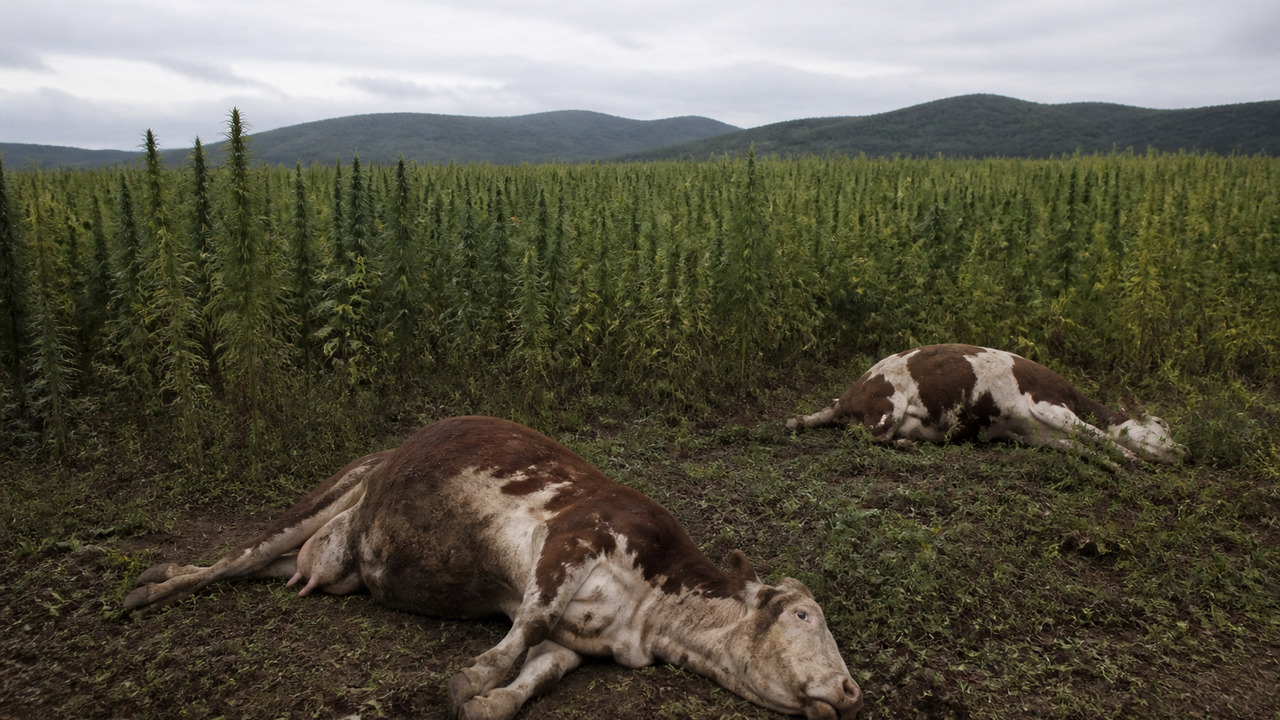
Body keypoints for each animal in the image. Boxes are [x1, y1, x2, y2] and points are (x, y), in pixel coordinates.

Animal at [126, 416, 863, 720]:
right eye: (804, 615)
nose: (853, 691)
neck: (651, 614)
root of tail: (392, 447)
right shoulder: (577, 535)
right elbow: (525, 624)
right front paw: (468, 681)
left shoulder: (579, 642)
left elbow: (537, 671)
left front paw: (490, 698)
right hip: (326, 496)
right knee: (236, 558)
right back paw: (154, 587)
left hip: (335, 558)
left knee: (271, 567)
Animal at [787, 344, 1186, 467]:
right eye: (1160, 425)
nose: (1186, 451)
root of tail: (847, 394)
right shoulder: (1050, 404)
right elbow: (1093, 433)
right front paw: (1130, 458)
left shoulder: (1033, 434)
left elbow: (1078, 445)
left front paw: (1111, 464)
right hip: (889, 407)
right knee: (868, 436)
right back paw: (903, 445)